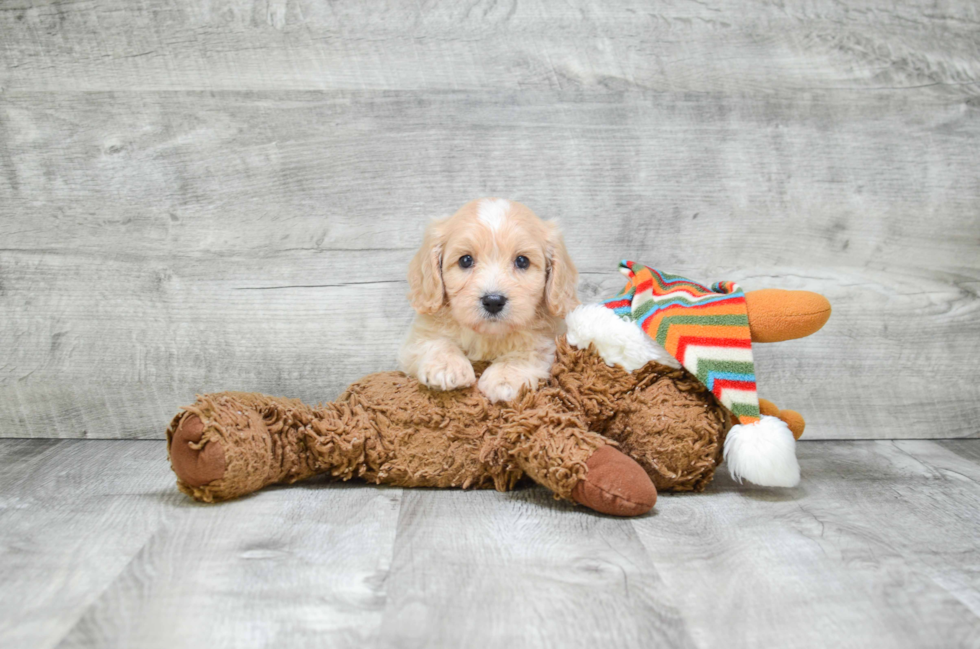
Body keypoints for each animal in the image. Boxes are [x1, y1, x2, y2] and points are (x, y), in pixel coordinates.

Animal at [398, 196, 580, 400]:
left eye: (522, 261)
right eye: (465, 260)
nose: (493, 301)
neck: (488, 335)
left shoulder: (547, 342)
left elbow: (527, 352)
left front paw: (504, 378)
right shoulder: (414, 341)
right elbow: (436, 342)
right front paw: (447, 366)